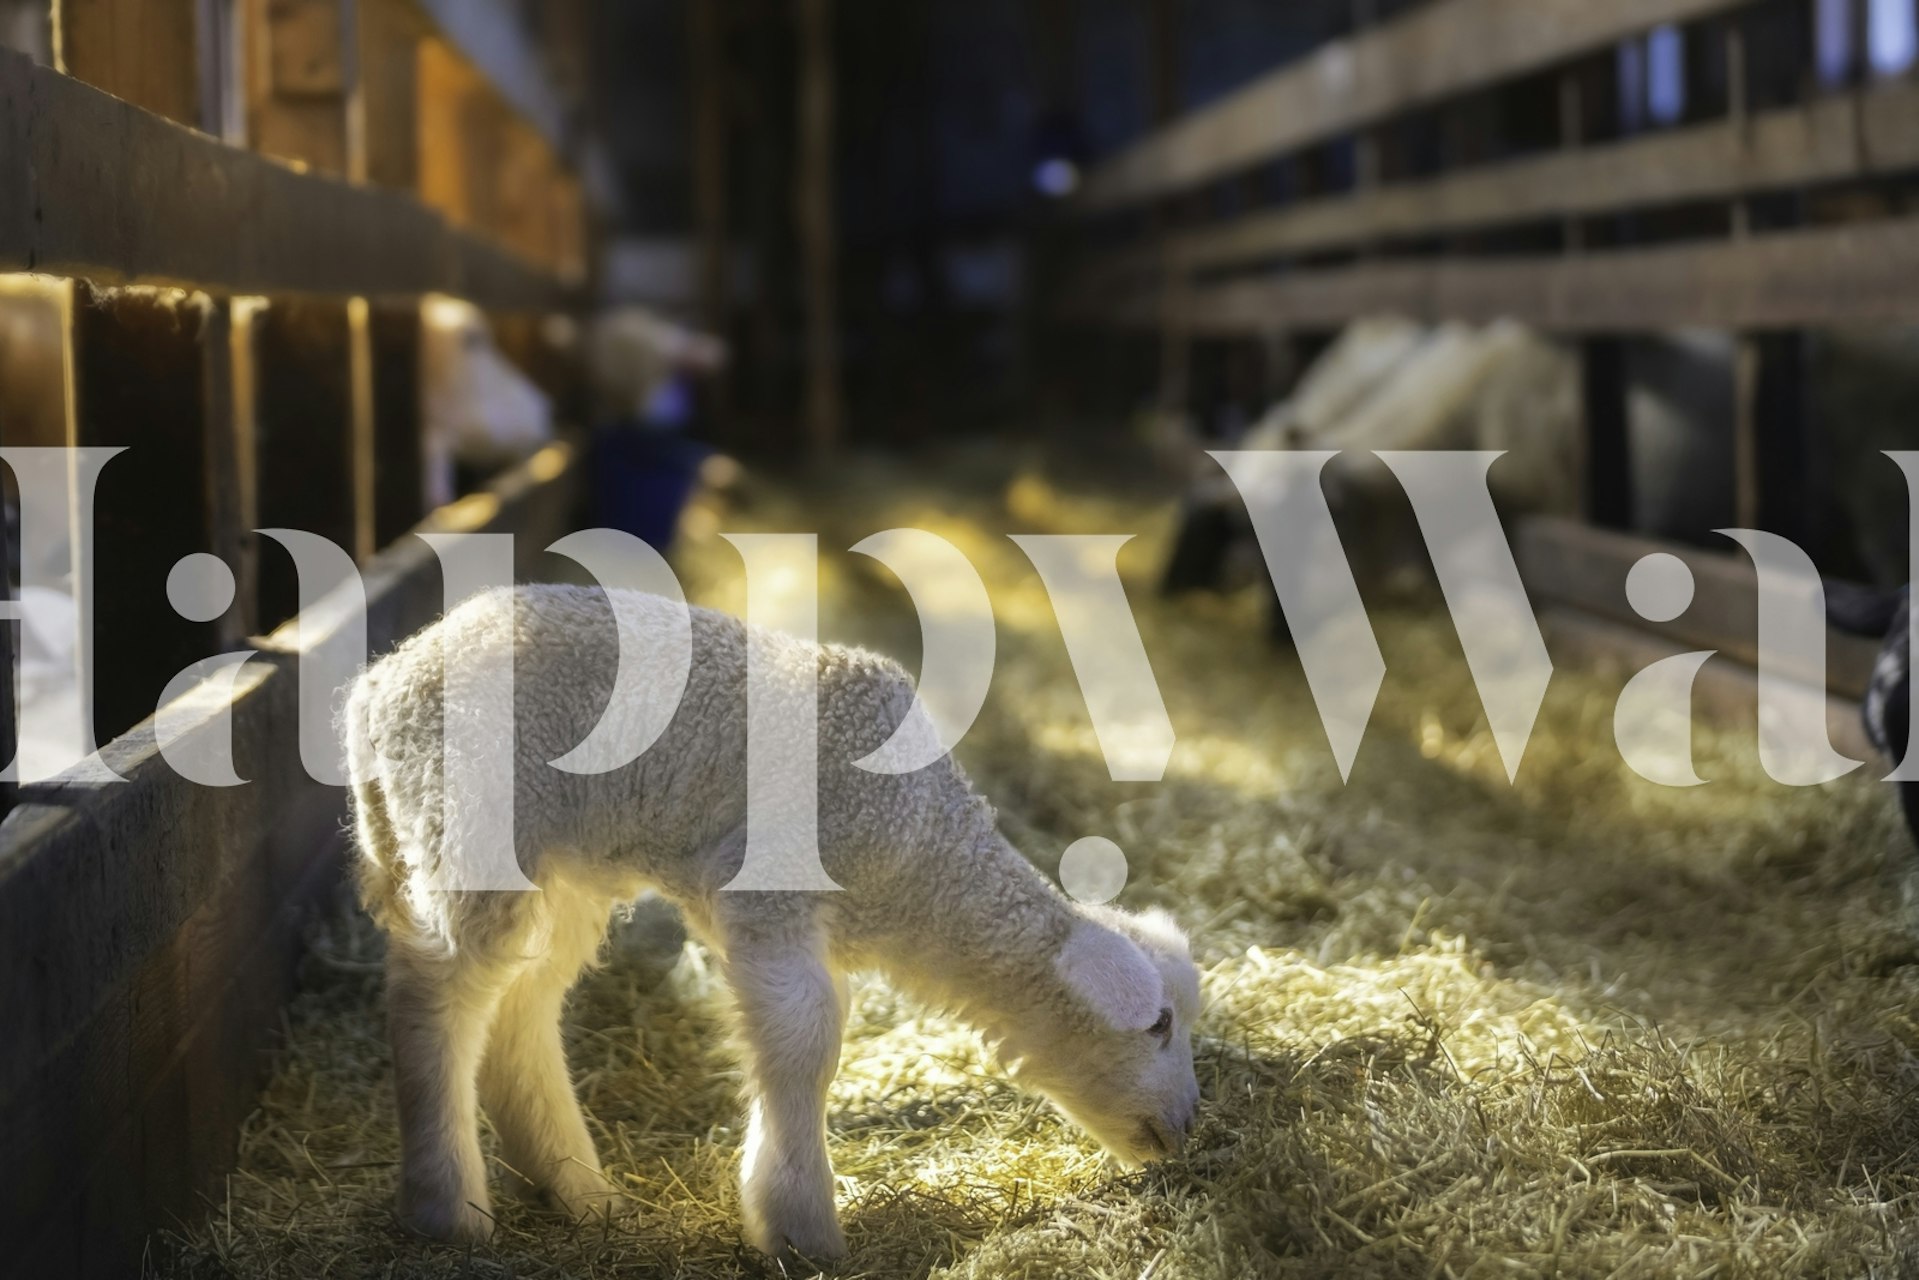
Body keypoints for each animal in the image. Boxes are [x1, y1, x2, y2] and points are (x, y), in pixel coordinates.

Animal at [343, 584, 1202, 1258]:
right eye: (1157, 1025)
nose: (1190, 1125)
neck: (918, 860)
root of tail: (377, 686)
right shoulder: (769, 887)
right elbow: (805, 1042)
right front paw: (799, 1227)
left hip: (558, 868)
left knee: (519, 1008)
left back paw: (580, 1195)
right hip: (468, 821)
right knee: (436, 997)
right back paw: (446, 1209)